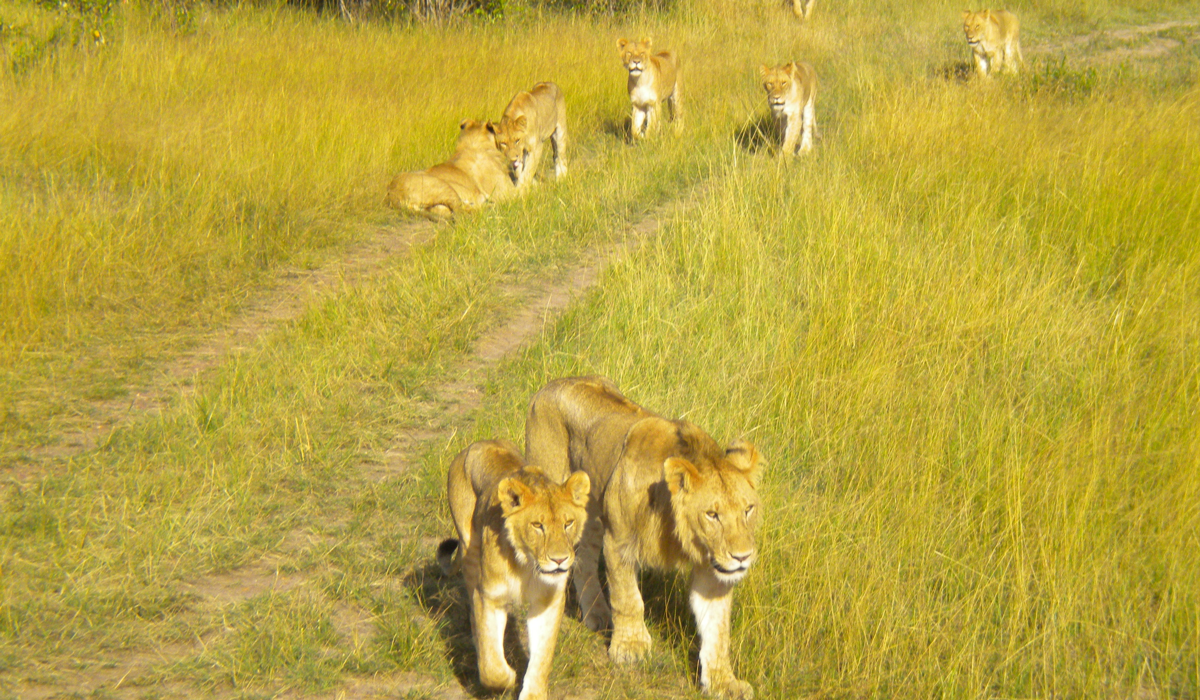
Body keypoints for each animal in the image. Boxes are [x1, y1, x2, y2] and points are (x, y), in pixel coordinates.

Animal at [439, 441, 592, 700]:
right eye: (537, 525)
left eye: (568, 523)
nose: (560, 560)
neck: (527, 567)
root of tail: (479, 443)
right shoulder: (490, 597)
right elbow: (492, 668)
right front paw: (507, 677)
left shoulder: (547, 602)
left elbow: (542, 658)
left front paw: (533, 693)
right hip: (469, 548)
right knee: (474, 614)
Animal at [528, 377, 768, 700]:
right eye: (712, 515)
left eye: (748, 509)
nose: (742, 557)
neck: (676, 531)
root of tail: (552, 384)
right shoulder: (619, 542)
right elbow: (628, 598)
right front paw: (630, 648)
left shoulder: (713, 569)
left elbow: (717, 630)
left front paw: (723, 683)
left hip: (590, 511)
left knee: (585, 559)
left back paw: (597, 614)